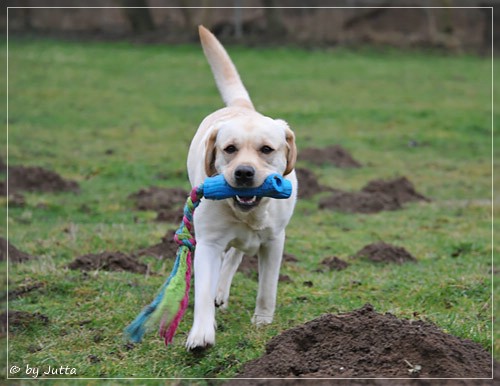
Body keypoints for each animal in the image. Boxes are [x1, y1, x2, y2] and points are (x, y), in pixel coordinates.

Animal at [187, 24, 296, 350]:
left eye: (266, 150)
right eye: (230, 149)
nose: (244, 173)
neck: (248, 213)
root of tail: (241, 106)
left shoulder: (274, 241)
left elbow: (267, 287)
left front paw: (262, 322)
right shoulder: (208, 242)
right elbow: (203, 291)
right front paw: (201, 333)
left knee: (236, 254)